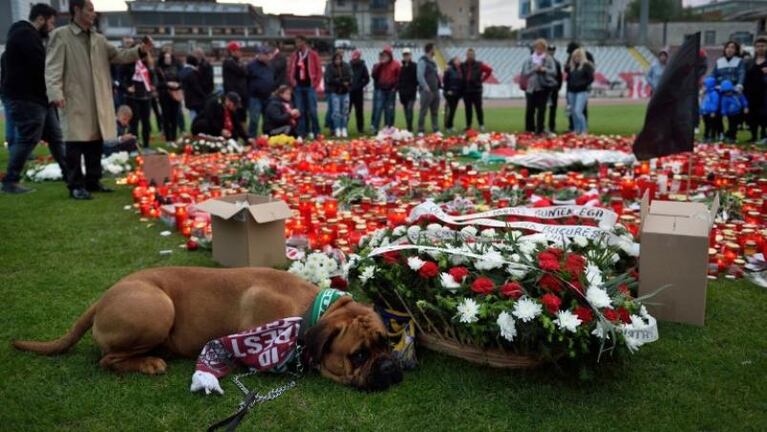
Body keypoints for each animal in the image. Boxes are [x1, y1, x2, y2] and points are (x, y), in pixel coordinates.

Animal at [12, 266, 404, 392]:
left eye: (387, 343)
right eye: (359, 355)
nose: (389, 366)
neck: (310, 310)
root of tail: (103, 297)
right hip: (158, 308)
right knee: (107, 359)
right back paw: (149, 362)